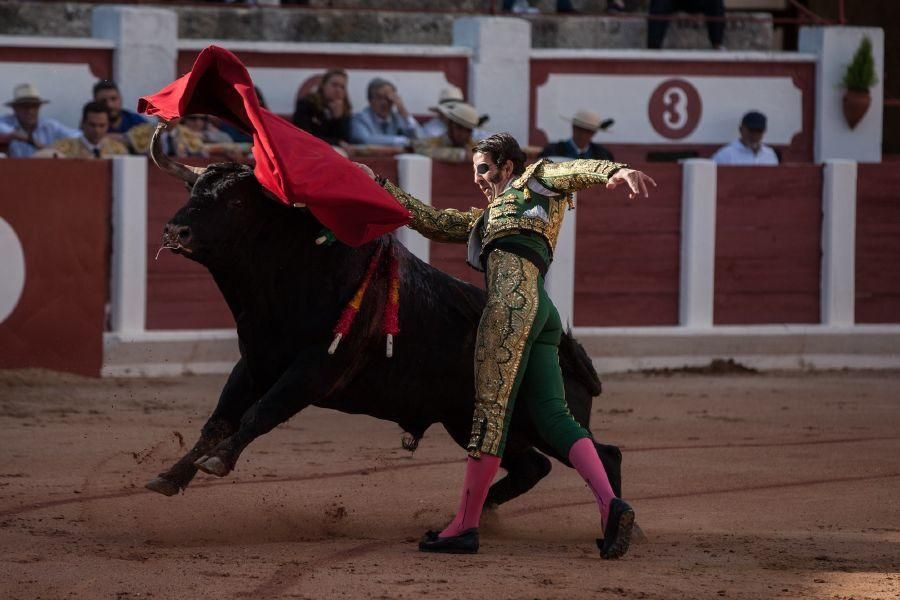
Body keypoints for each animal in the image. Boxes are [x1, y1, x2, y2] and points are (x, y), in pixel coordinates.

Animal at [148, 127, 624, 510]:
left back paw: (618, 526)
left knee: (600, 453)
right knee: (531, 466)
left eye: (237, 203)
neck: (291, 273)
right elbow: (219, 421)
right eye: (192, 192)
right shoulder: (253, 363)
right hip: (469, 418)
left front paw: (216, 462)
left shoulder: (317, 368)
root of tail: (570, 349)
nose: (174, 231)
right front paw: (170, 476)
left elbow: (260, 413)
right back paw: (484, 510)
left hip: (540, 416)